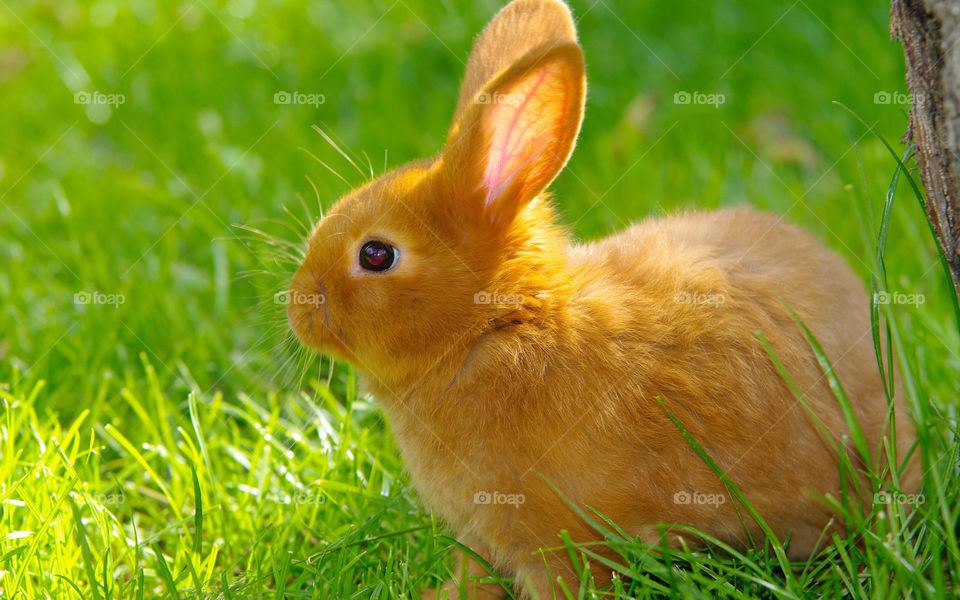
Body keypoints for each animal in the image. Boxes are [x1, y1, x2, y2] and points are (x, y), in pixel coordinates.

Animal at [286, 0, 920, 597]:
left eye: (376, 255)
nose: (296, 305)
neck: (494, 326)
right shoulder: (486, 534)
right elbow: (475, 573)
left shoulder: (562, 542)